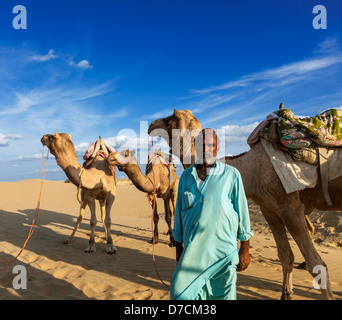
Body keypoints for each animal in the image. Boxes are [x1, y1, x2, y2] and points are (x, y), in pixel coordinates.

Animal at [148, 108, 340, 300]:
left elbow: (317, 264)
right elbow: (285, 255)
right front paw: (286, 294)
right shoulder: (270, 210)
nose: (151, 125)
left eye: (170, 118)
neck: (252, 169)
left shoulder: (291, 209)